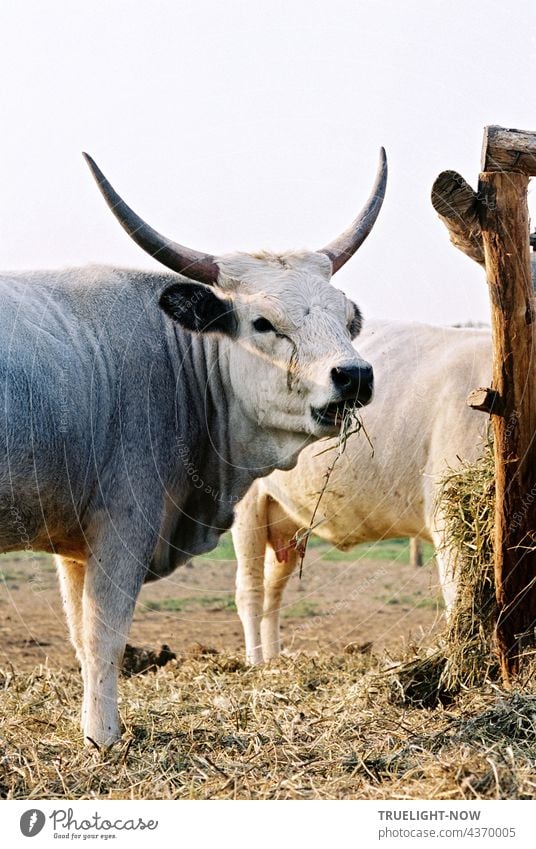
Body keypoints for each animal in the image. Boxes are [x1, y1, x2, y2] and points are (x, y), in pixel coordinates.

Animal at [0, 151, 386, 744]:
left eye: (346, 319)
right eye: (262, 322)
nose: (354, 376)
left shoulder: (73, 542)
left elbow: (81, 638)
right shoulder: (124, 525)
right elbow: (104, 637)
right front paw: (103, 739)